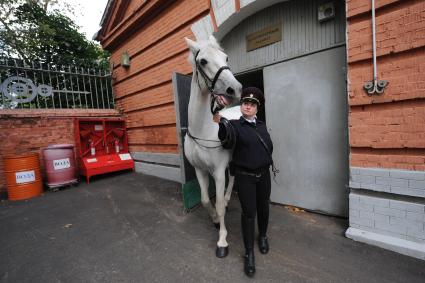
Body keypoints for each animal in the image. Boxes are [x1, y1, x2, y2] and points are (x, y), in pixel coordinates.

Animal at [183, 35, 242, 258]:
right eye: (203, 61)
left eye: (226, 57)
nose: (235, 89)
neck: (203, 130)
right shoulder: (200, 170)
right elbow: (206, 200)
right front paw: (215, 220)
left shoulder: (217, 172)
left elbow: (217, 205)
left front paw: (222, 240)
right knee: (232, 176)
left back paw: (226, 198)